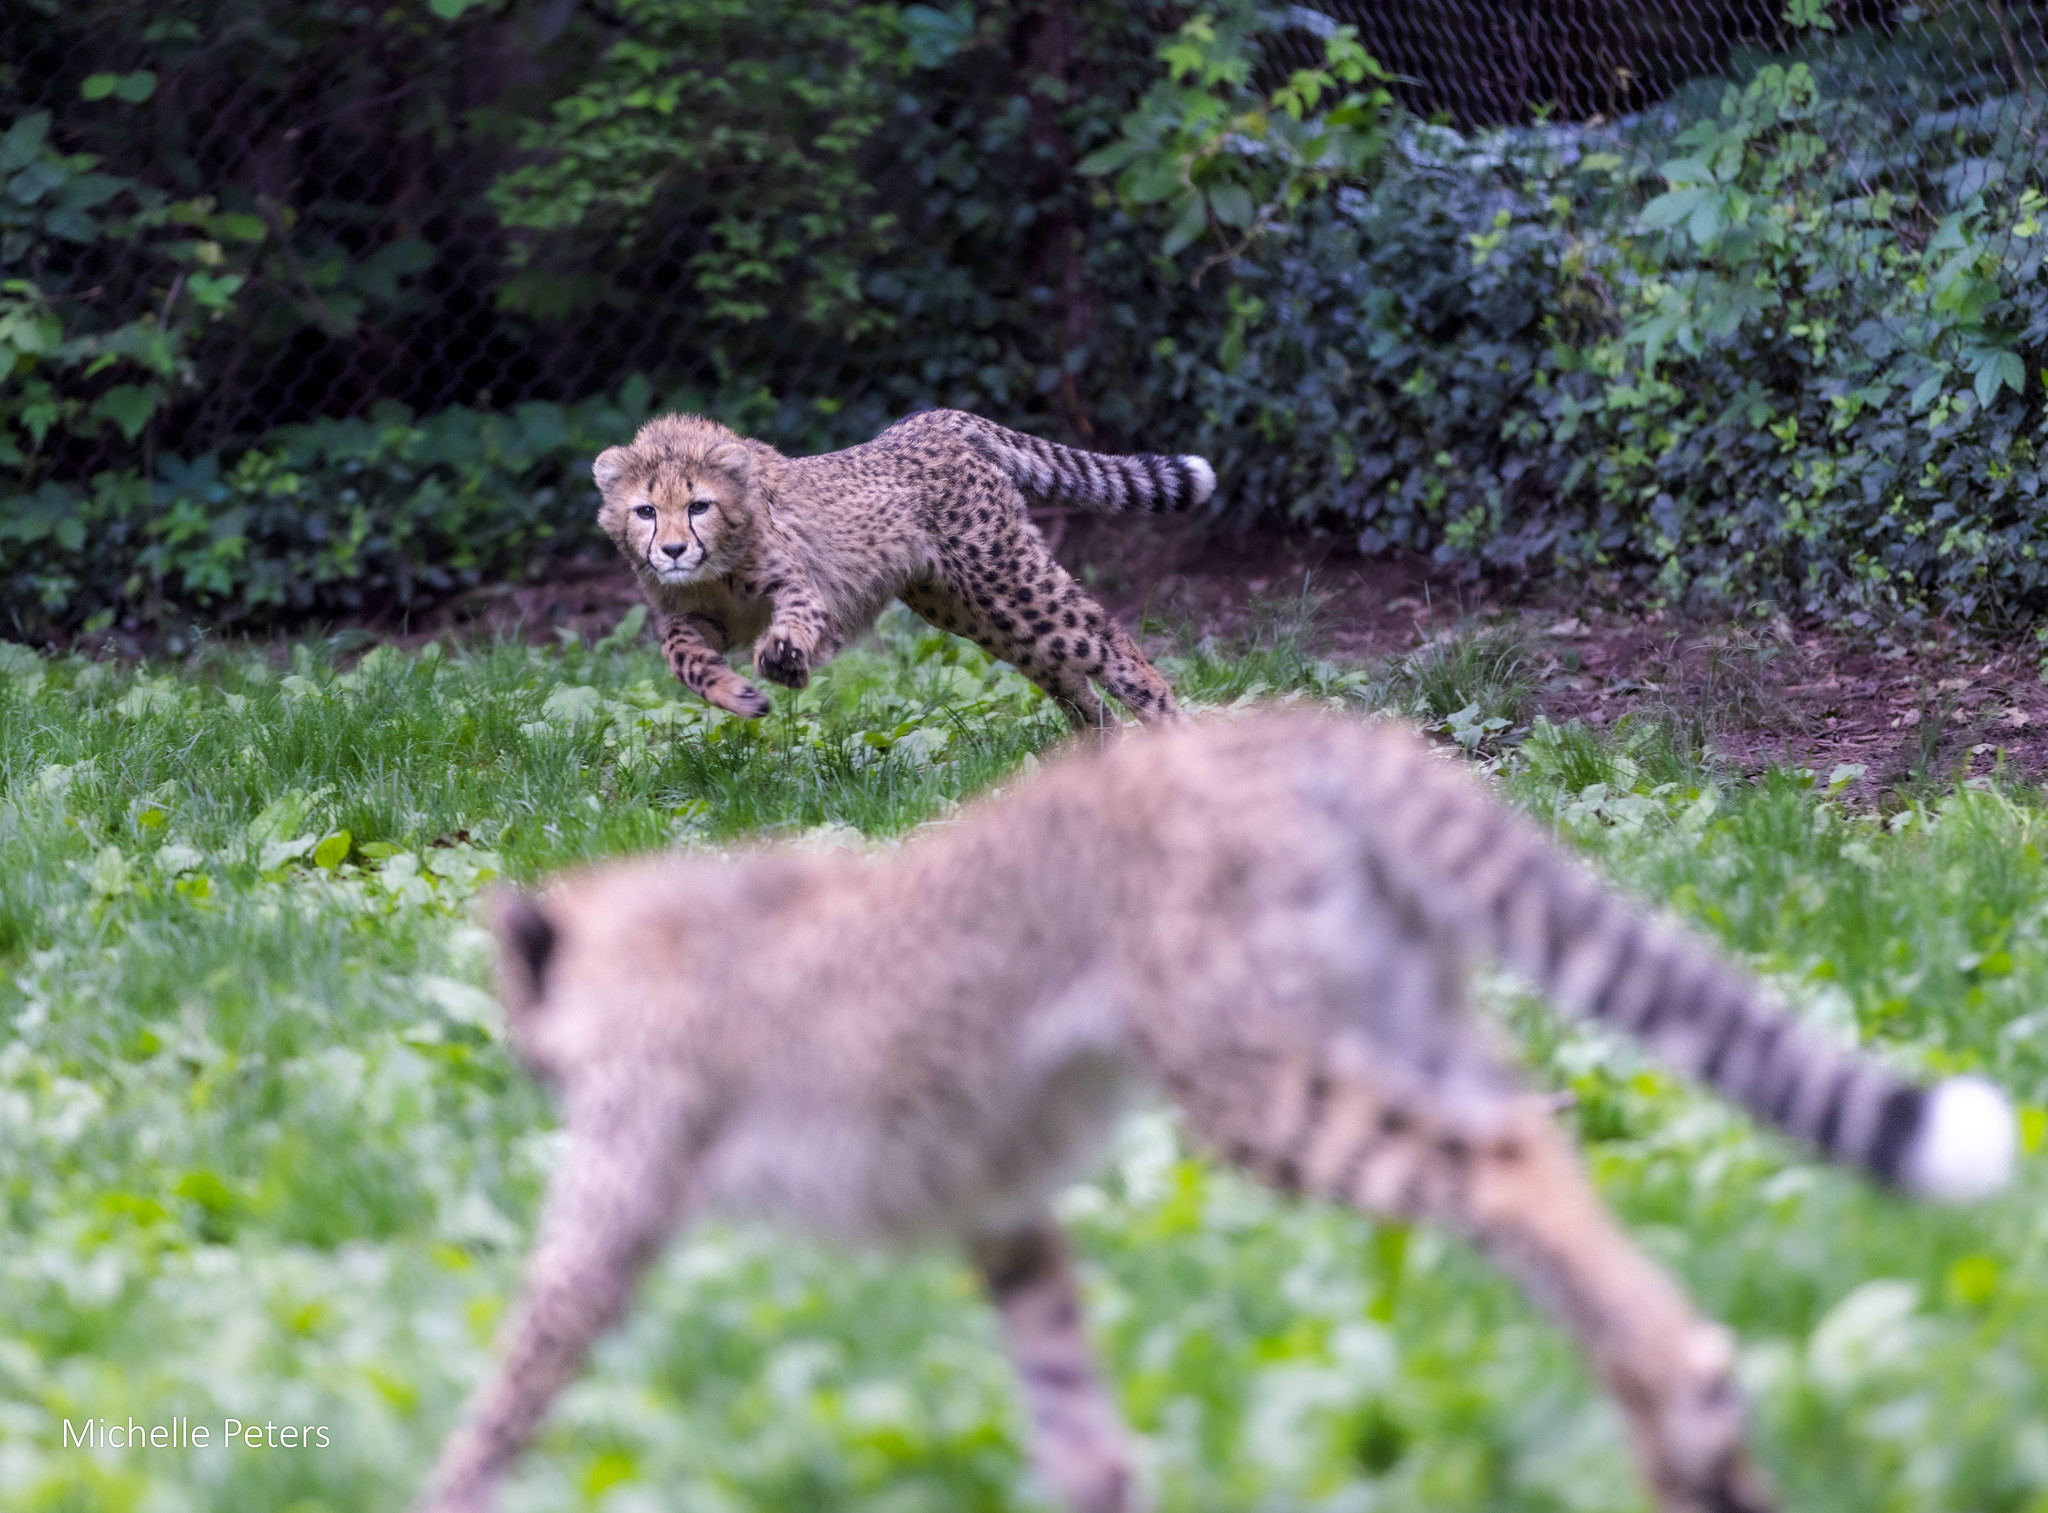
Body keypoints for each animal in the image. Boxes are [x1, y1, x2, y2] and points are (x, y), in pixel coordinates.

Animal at [411, 710, 2014, 1513]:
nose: (526, 1074)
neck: (663, 916)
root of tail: (1301, 720)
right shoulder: (1002, 1210)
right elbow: (1071, 1408)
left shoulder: (625, 1189)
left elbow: (518, 1371)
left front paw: (437, 1486)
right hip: (1402, 1027)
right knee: (1546, 1151)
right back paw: (1693, 1430)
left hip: (1253, 1080)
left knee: (1505, 1166)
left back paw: (1682, 1405)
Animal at [592, 409, 1215, 728]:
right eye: (646, 512)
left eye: (699, 506)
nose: (674, 551)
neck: (715, 567)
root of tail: (931, 420)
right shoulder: (699, 618)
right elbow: (681, 655)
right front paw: (735, 693)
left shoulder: (800, 589)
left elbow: (794, 621)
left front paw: (784, 659)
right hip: (972, 610)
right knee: (1066, 677)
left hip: (1009, 580)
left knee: (1105, 640)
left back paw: (1170, 731)